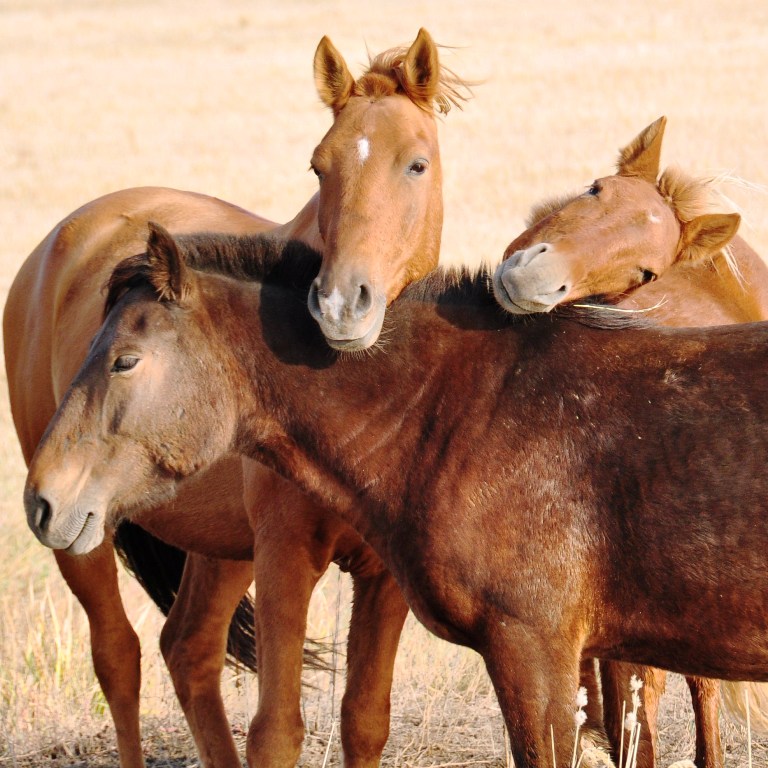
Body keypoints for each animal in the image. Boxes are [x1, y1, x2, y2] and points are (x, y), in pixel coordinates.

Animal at [4, 30, 474, 768]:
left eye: (416, 165)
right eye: (319, 168)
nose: (340, 304)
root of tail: (66, 236)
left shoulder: (381, 574)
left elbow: (365, 718)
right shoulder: (285, 556)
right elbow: (277, 730)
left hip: (219, 547)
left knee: (188, 649)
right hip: (81, 527)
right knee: (119, 656)